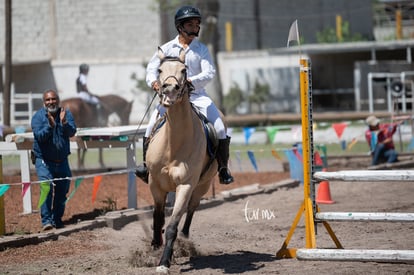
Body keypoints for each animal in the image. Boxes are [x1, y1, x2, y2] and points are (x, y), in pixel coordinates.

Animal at [146, 48, 218, 274]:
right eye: (160, 70)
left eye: (184, 70)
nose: (169, 89)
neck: (173, 145)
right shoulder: (155, 184)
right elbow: (158, 216)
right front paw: (155, 245)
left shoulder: (185, 185)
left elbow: (172, 226)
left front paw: (164, 262)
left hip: (202, 185)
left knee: (192, 208)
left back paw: (185, 239)